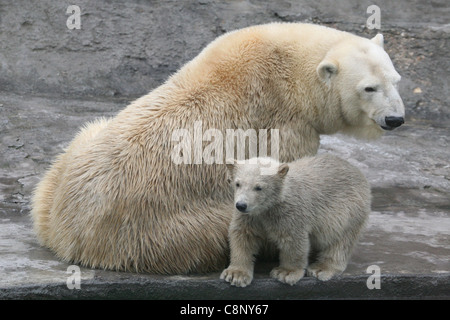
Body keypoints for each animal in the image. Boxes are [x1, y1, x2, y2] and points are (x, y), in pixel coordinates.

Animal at [30, 22, 404, 274]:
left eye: (396, 79)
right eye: (369, 88)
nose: (395, 118)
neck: (290, 68)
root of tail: (69, 235)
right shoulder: (285, 126)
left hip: (67, 163)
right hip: (165, 229)